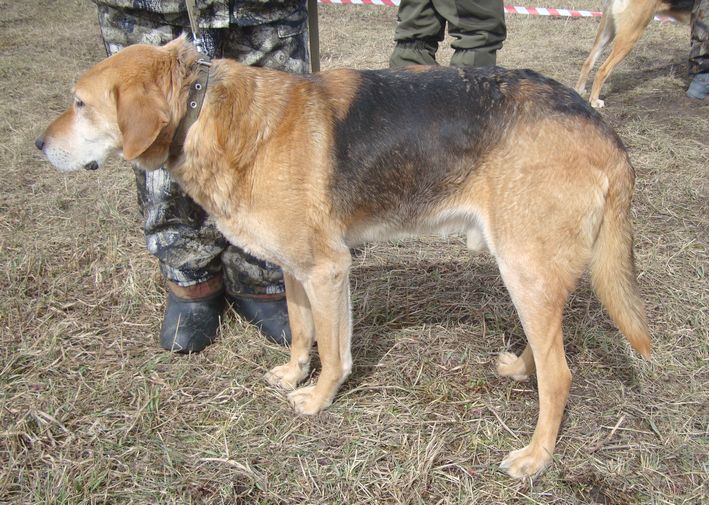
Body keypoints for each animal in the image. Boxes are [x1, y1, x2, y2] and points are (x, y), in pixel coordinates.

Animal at [36, 37, 648, 478]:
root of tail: (599, 125)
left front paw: (318, 399)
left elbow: (334, 353)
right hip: (529, 273)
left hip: (523, 268)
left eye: (80, 103)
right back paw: (521, 368)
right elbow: (303, 333)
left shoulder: (329, 270)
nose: (38, 145)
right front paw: (293, 374)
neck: (202, 107)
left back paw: (536, 457)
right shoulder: (295, 271)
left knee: (561, 374)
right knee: (547, 349)